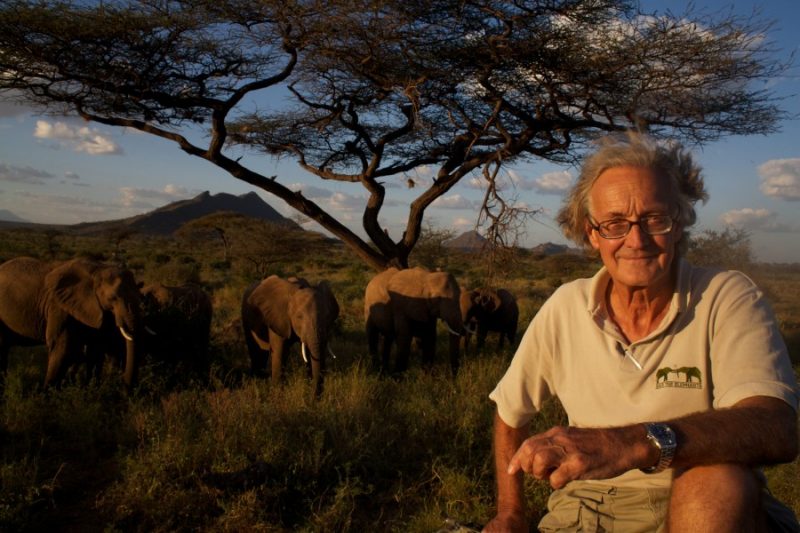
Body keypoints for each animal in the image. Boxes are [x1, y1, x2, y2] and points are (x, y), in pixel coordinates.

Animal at [0, 256, 145, 388]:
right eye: (113, 298)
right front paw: (49, 395)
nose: (124, 384)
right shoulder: (59, 308)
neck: (99, 269)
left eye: (140, 297)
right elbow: (63, 349)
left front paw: (91, 390)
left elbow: (96, 350)